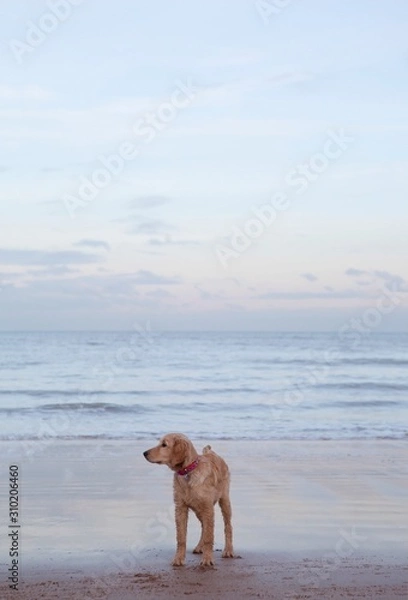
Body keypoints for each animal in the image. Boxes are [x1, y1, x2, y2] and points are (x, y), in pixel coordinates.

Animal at [143, 432, 234, 568]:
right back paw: (200, 547)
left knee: (227, 526)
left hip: (224, 500)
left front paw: (207, 559)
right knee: (203, 526)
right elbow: (181, 537)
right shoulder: (180, 508)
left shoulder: (208, 508)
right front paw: (178, 558)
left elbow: (209, 536)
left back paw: (228, 550)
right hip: (198, 510)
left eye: (164, 444)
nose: (144, 453)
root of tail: (212, 453)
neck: (188, 472)